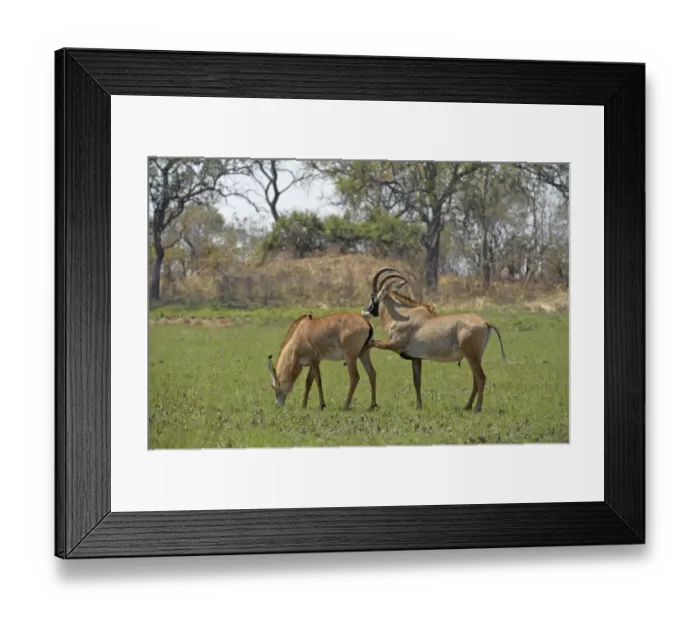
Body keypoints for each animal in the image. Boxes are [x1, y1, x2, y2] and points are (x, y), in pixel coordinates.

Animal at [362, 267, 508, 413]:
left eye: (373, 296)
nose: (365, 312)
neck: (405, 315)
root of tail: (484, 322)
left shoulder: (394, 344)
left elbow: (372, 343)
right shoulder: (416, 358)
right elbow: (417, 381)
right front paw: (419, 406)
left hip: (472, 357)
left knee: (481, 378)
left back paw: (477, 408)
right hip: (474, 358)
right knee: (476, 380)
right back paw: (467, 406)